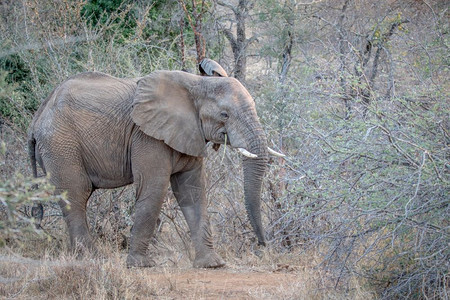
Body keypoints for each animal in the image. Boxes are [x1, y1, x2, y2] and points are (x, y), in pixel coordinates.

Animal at [28, 64, 284, 268]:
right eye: (225, 115)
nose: (262, 245)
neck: (197, 84)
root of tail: (37, 117)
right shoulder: (146, 136)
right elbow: (154, 189)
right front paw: (141, 265)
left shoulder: (189, 132)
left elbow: (193, 192)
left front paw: (212, 264)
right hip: (60, 145)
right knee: (76, 194)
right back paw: (91, 257)